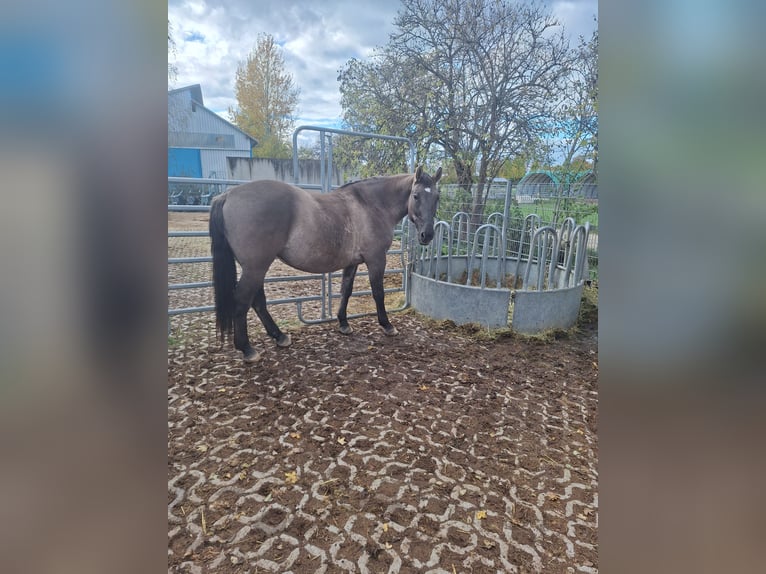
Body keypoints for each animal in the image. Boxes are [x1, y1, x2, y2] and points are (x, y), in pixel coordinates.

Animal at [209, 166, 443, 362]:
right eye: (416, 195)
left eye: (437, 197)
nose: (428, 235)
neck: (372, 205)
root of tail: (227, 195)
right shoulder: (376, 259)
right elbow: (378, 292)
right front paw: (387, 325)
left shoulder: (353, 262)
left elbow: (346, 290)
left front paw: (343, 324)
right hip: (256, 267)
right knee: (243, 300)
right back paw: (247, 349)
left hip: (255, 267)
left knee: (257, 301)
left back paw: (279, 337)